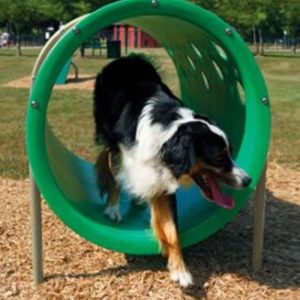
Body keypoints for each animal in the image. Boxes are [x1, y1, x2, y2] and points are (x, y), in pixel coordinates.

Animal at [93, 54, 251, 288]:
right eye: (219, 157)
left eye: (231, 152)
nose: (248, 180)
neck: (170, 132)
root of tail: (126, 59)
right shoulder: (126, 153)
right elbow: (116, 178)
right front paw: (113, 207)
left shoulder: (162, 180)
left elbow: (171, 232)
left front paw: (180, 271)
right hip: (109, 136)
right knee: (111, 168)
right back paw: (113, 207)